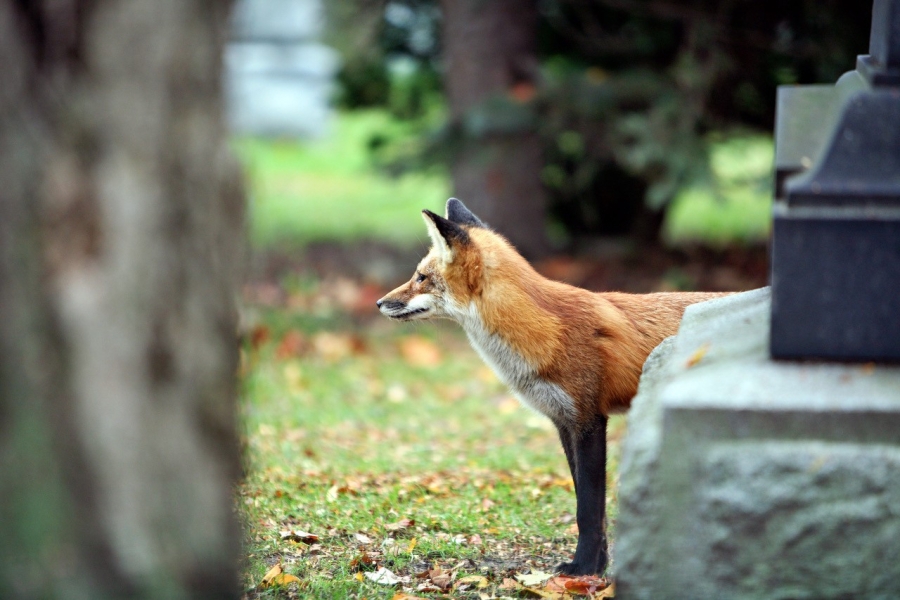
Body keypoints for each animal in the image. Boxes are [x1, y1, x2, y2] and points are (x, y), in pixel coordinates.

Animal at [377, 198, 729, 575]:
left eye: (421, 277)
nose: (379, 303)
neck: (544, 329)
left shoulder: (589, 420)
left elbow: (587, 508)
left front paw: (583, 569)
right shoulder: (563, 421)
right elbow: (590, 507)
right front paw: (598, 565)